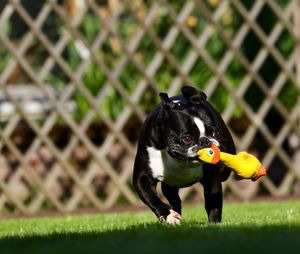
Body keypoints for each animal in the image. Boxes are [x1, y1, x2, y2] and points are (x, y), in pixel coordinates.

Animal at [132, 86, 236, 224]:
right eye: (186, 138)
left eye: (215, 133)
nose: (205, 141)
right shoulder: (142, 178)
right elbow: (151, 198)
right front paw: (168, 215)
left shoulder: (212, 178)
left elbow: (213, 203)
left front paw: (214, 223)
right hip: (169, 186)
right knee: (174, 200)